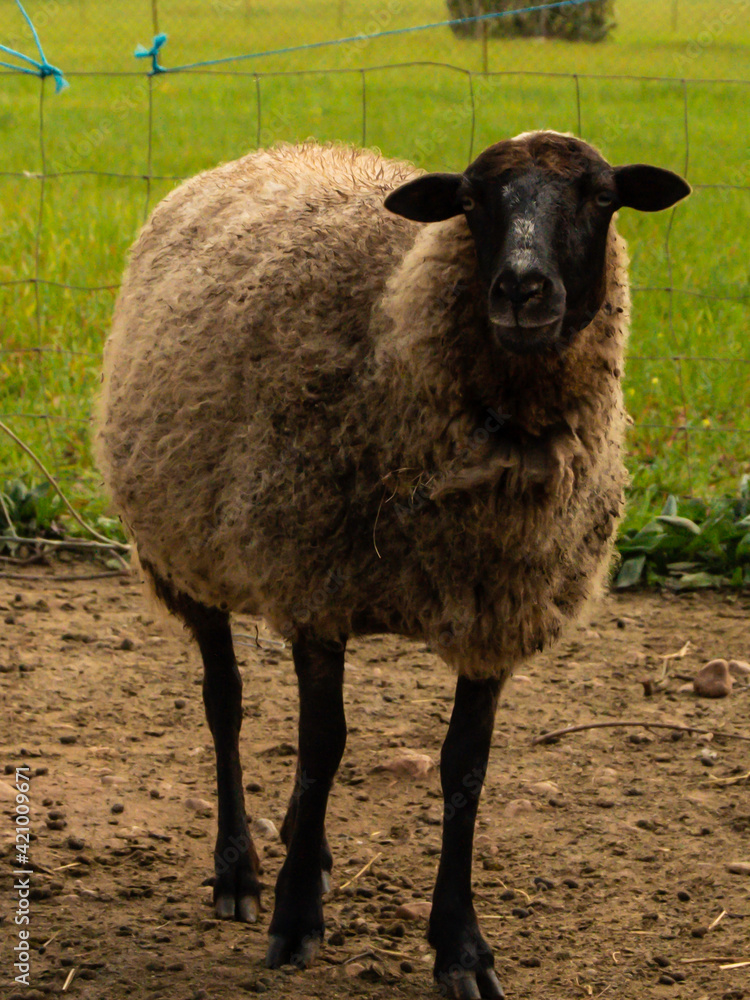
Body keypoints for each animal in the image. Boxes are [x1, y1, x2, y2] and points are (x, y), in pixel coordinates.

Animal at [95, 132, 689, 999]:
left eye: (603, 197)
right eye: (472, 201)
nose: (522, 288)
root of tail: (267, 150)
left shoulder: (493, 611)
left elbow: (463, 770)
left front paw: (461, 947)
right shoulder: (315, 587)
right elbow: (322, 746)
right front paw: (295, 915)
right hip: (183, 550)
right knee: (224, 704)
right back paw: (240, 871)